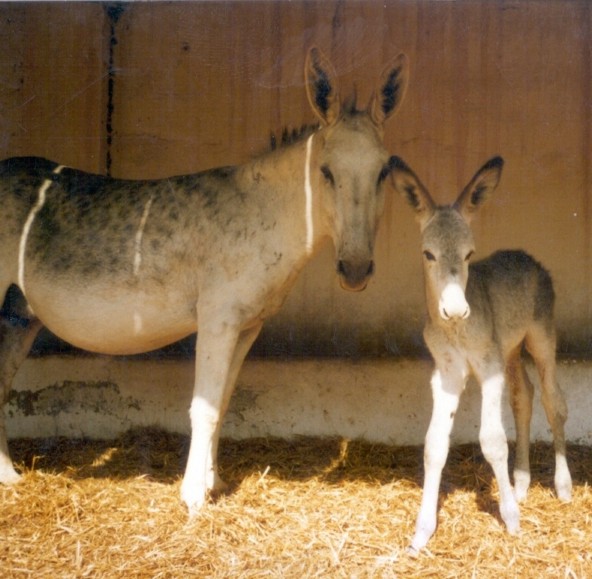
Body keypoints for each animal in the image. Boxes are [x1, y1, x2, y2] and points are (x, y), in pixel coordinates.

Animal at [390, 157, 572, 552]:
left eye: (469, 254)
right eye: (428, 254)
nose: (456, 310)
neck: (457, 332)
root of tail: (528, 257)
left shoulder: (488, 366)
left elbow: (492, 440)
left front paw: (512, 521)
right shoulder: (446, 372)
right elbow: (434, 444)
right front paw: (421, 533)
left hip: (541, 337)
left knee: (554, 402)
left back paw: (563, 486)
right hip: (511, 350)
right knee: (523, 396)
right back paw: (521, 483)